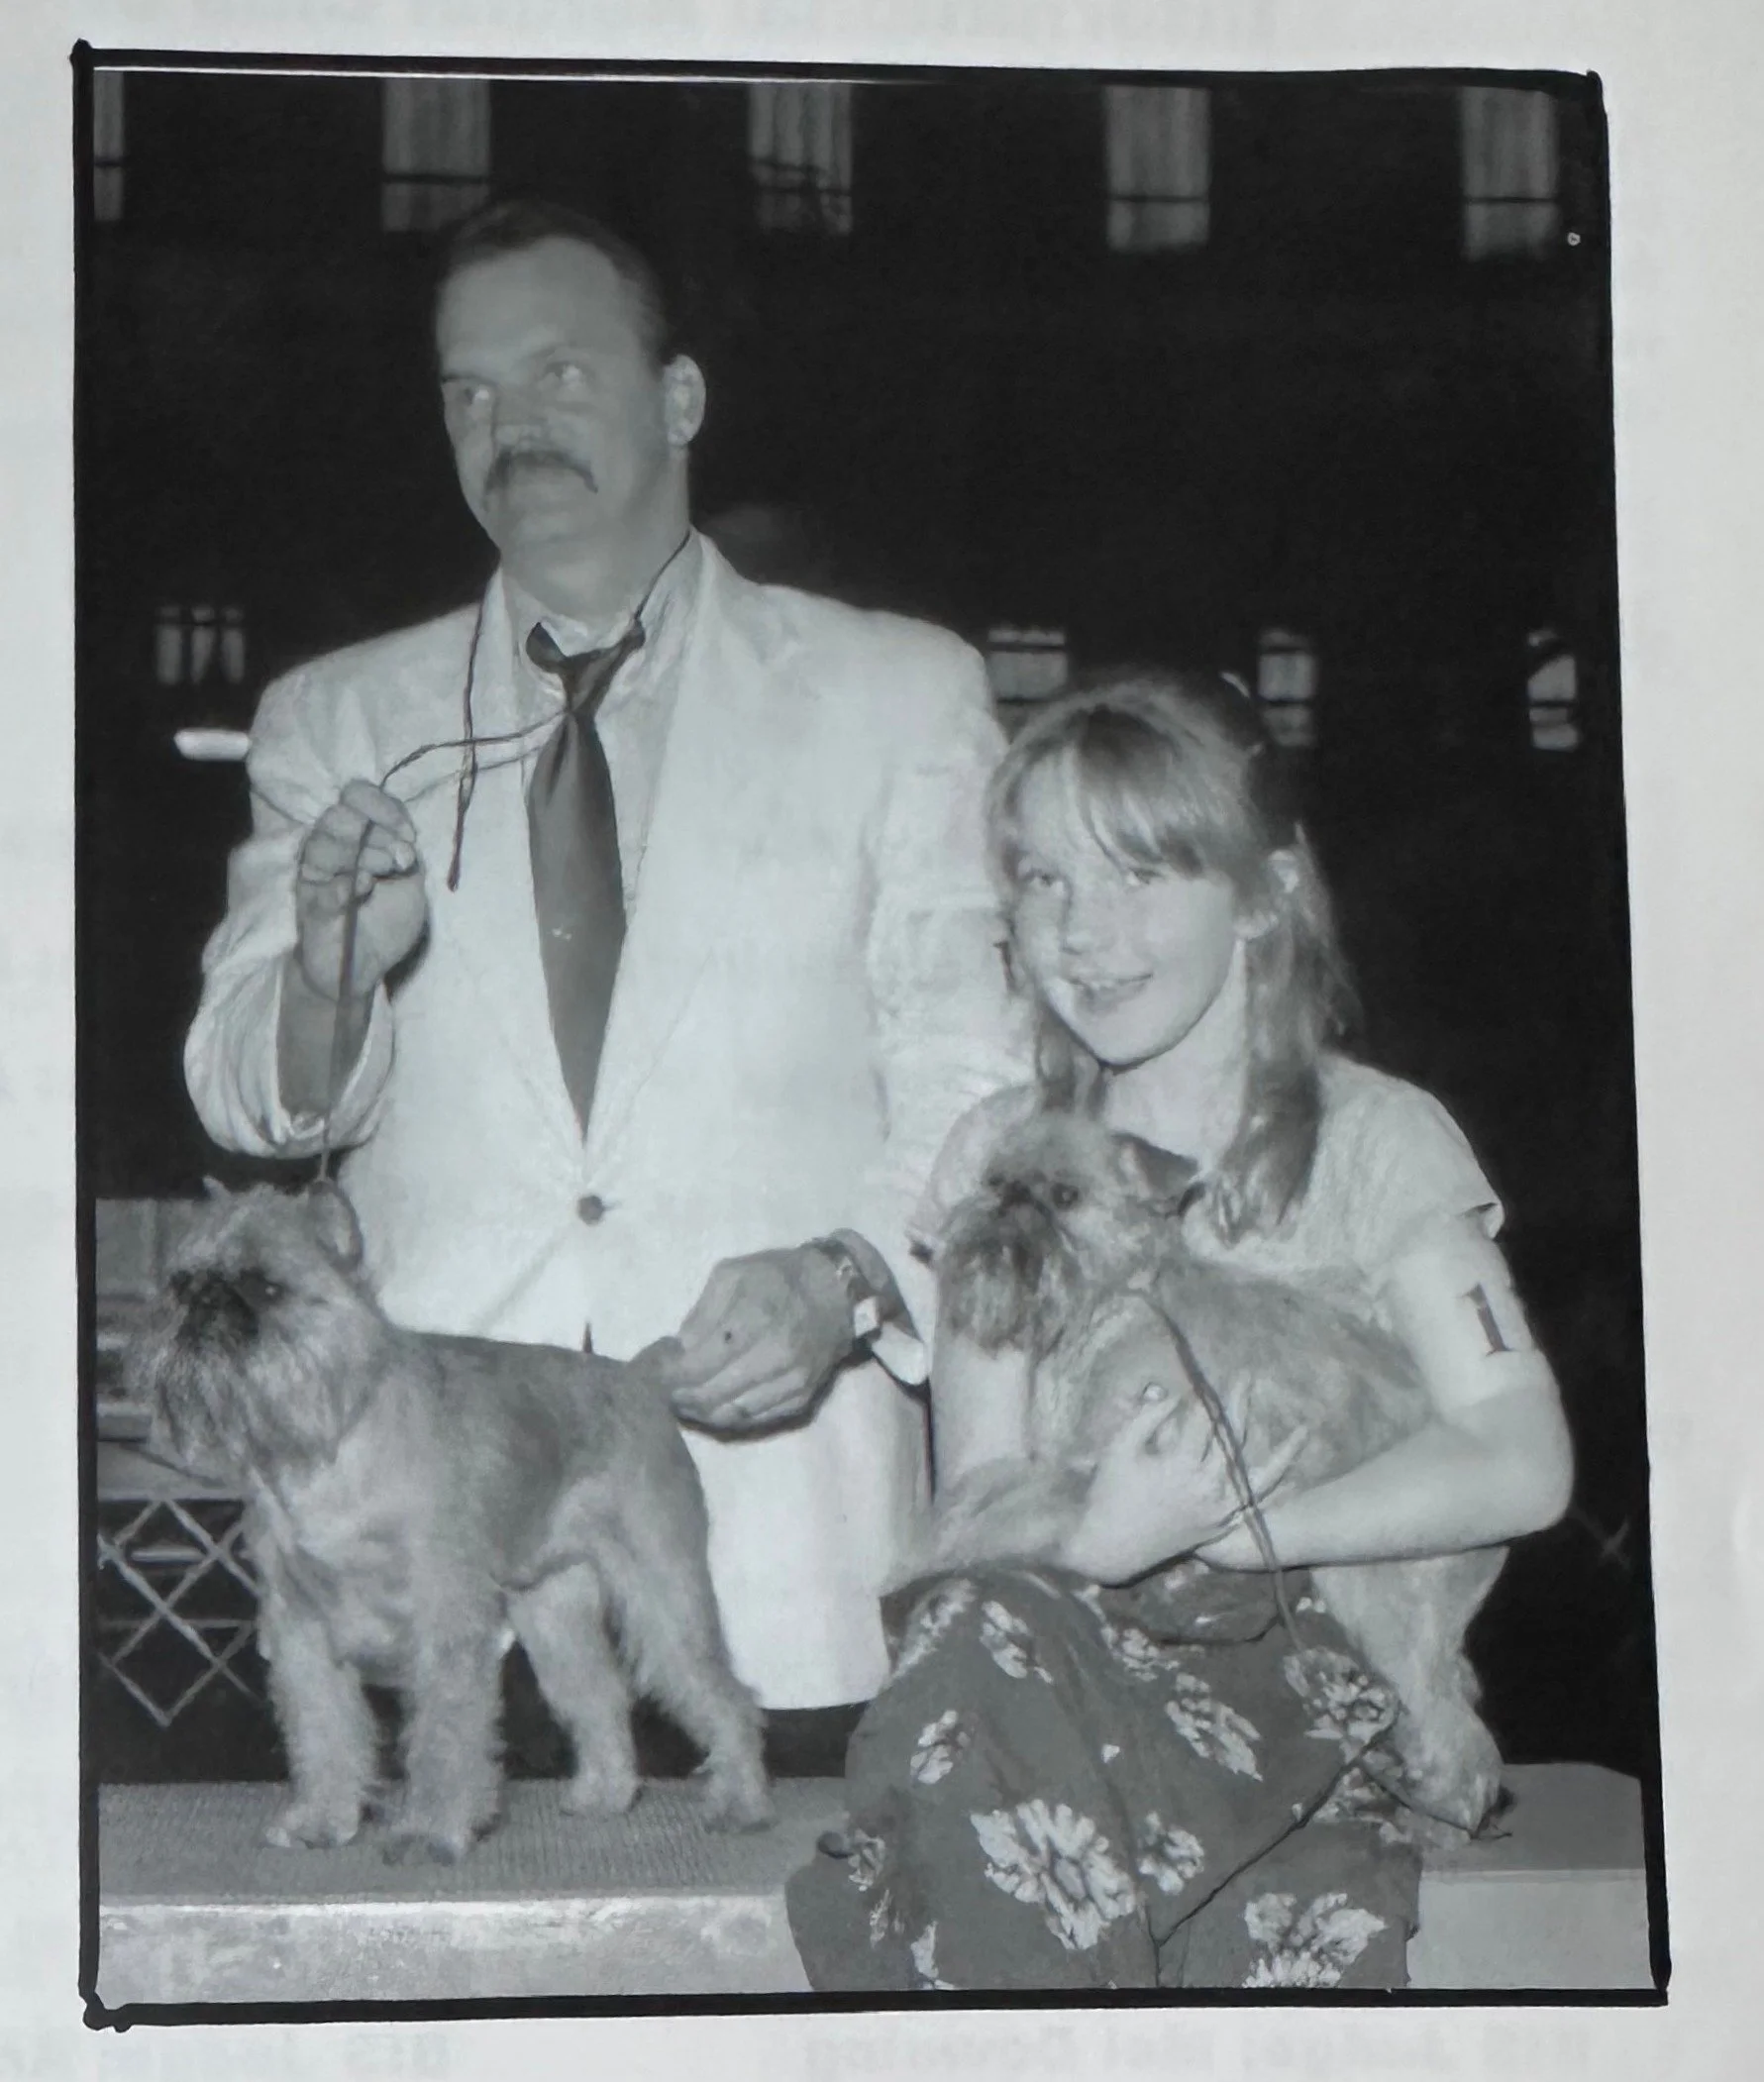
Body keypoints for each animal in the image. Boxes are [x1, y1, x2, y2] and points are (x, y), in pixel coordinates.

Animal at [127, 1180, 772, 1862]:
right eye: (181, 1281)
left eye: (265, 1287)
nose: (202, 1300)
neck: (328, 1442)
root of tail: (636, 1380)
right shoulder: (300, 1632)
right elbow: (323, 1735)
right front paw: (321, 1819)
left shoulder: (444, 1627)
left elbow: (443, 1736)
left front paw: (432, 1829)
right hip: (554, 1613)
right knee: (599, 1695)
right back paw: (605, 1793)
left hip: (662, 1595)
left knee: (725, 1696)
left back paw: (742, 1803)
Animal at [925, 1106, 1507, 1838]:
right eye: (996, 1180)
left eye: (1064, 1195)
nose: (1006, 1202)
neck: (1116, 1306)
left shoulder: (1103, 1471)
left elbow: (1017, 1509)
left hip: (1379, 1600)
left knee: (1455, 1737)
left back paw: (1441, 1823)